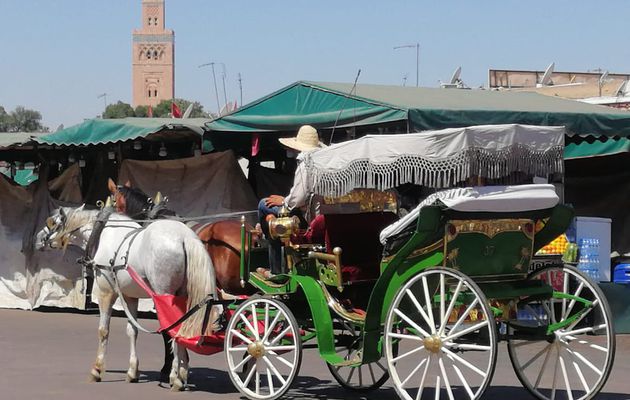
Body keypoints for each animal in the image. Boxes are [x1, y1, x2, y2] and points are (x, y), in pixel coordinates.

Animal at [37, 206, 220, 390]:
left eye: (52, 222)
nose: (39, 239)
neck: (104, 234)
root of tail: (184, 236)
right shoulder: (129, 296)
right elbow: (132, 331)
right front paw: (132, 371)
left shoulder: (106, 292)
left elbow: (103, 331)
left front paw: (97, 369)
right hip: (182, 296)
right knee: (181, 328)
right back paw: (181, 373)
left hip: (164, 294)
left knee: (173, 329)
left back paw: (175, 376)